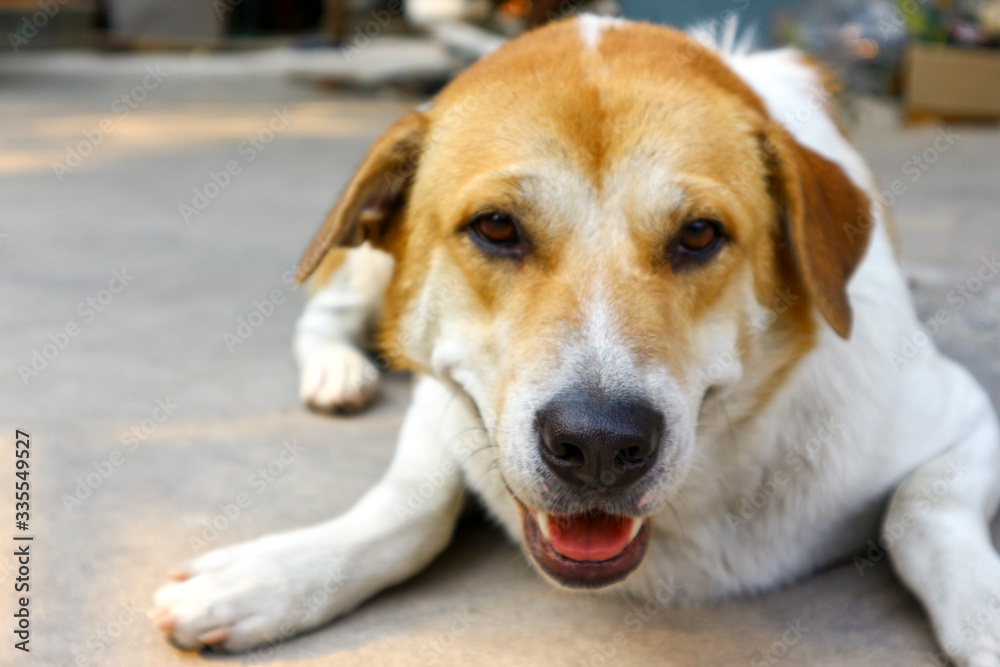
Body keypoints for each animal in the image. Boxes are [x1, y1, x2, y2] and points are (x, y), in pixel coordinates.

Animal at [152, 15, 1000, 667]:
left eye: (700, 234)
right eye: (497, 227)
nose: (598, 445)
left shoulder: (964, 414)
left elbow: (916, 505)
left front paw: (983, 614)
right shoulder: (444, 398)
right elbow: (413, 503)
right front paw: (271, 576)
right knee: (327, 312)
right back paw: (336, 370)